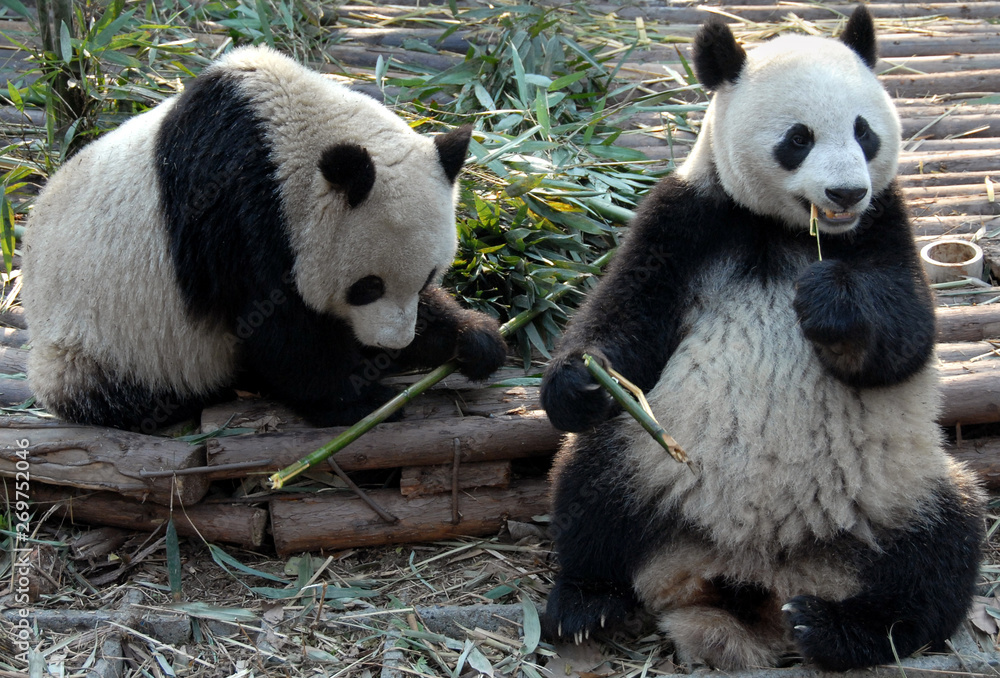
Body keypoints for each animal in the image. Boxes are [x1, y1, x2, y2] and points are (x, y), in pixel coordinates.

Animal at [23, 46, 507, 432]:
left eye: (427, 278)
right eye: (368, 286)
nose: (391, 344)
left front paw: (475, 339)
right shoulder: (237, 210)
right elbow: (276, 328)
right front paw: (362, 399)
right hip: (97, 340)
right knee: (114, 390)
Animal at [539, 7, 984, 671]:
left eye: (864, 133)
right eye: (798, 138)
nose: (846, 193)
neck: (785, 229)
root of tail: (753, 576)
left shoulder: (885, 222)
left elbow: (905, 336)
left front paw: (831, 301)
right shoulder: (689, 216)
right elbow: (630, 320)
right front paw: (582, 383)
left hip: (897, 489)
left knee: (941, 553)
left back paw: (834, 628)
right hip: (648, 460)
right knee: (588, 490)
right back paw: (585, 602)